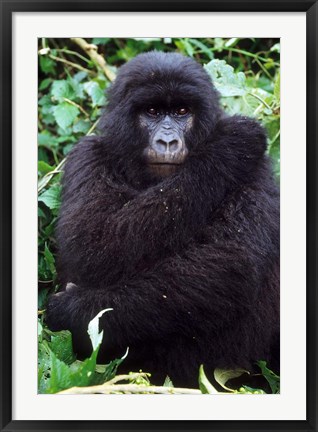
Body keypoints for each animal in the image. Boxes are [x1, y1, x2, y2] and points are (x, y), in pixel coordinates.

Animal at [46, 50, 280, 388]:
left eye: (182, 111)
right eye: (153, 111)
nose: (167, 142)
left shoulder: (258, 168)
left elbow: (229, 261)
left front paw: (73, 311)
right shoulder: (85, 156)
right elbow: (93, 246)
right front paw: (231, 145)